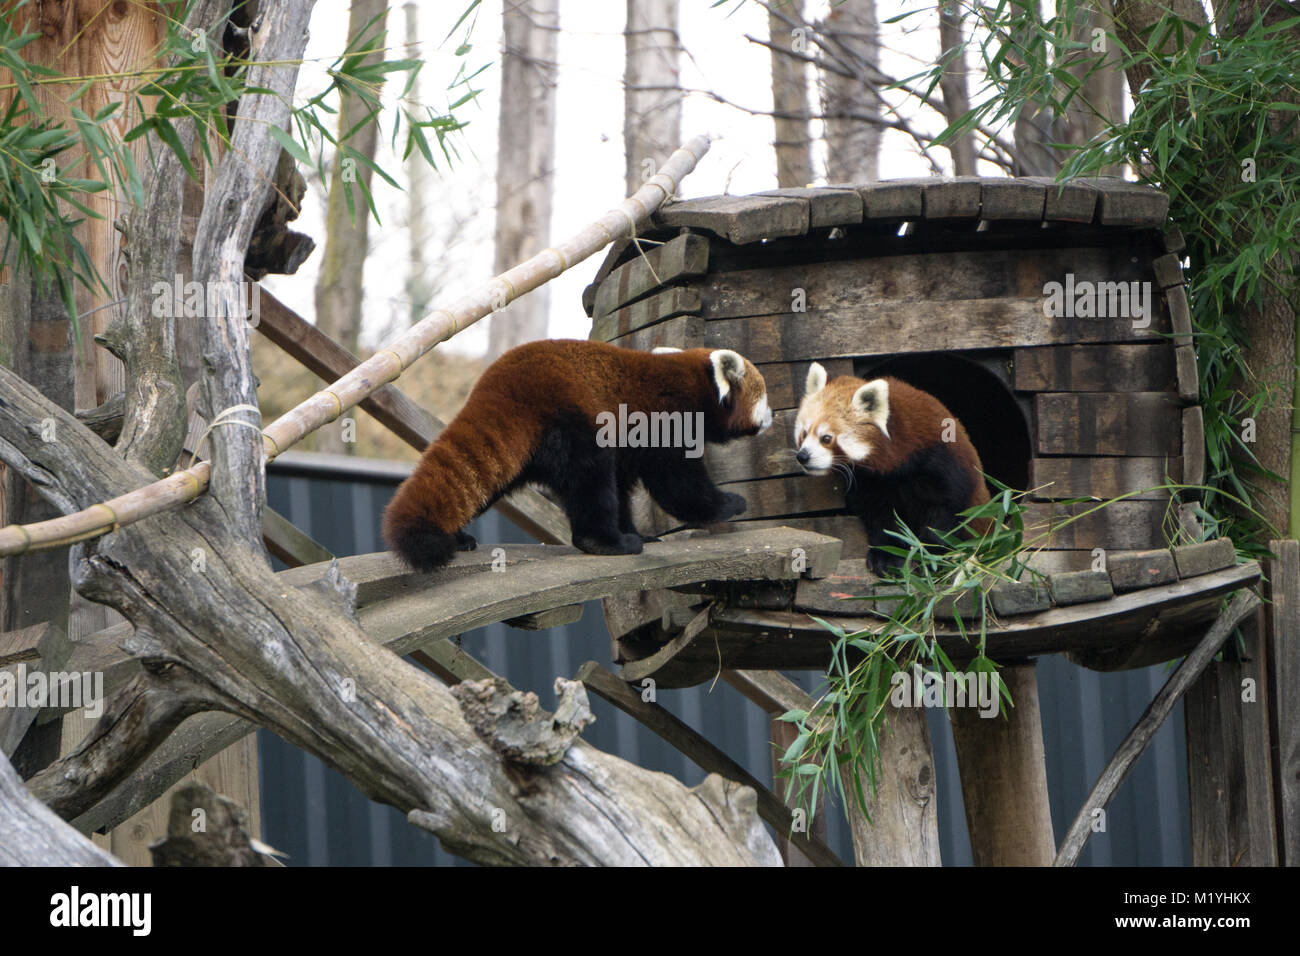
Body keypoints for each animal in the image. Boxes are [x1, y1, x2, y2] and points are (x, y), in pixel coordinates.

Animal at [382, 340, 769, 572]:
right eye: (764, 398)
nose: (772, 416)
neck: (693, 383)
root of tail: (499, 388)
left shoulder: (628, 445)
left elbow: (625, 488)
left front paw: (635, 529)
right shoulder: (666, 419)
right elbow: (679, 486)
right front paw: (731, 504)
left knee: (483, 485)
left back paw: (458, 536)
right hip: (572, 421)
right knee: (590, 481)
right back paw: (606, 542)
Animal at [785, 364, 987, 574]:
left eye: (826, 438)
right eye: (804, 433)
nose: (803, 456)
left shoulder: (940, 460)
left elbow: (944, 511)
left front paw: (932, 555)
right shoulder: (871, 480)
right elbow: (881, 515)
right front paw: (887, 555)